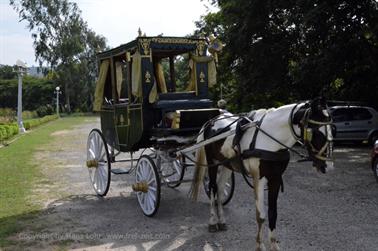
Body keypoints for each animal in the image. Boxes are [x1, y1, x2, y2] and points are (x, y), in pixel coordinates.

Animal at [190, 97, 332, 250]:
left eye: (333, 131)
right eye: (316, 133)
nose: (328, 167)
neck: (270, 140)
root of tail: (211, 121)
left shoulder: (275, 179)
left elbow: (273, 213)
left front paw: (274, 245)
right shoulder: (259, 179)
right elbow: (261, 215)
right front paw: (260, 245)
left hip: (227, 165)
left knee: (221, 188)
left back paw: (221, 221)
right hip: (212, 163)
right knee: (212, 188)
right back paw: (212, 222)